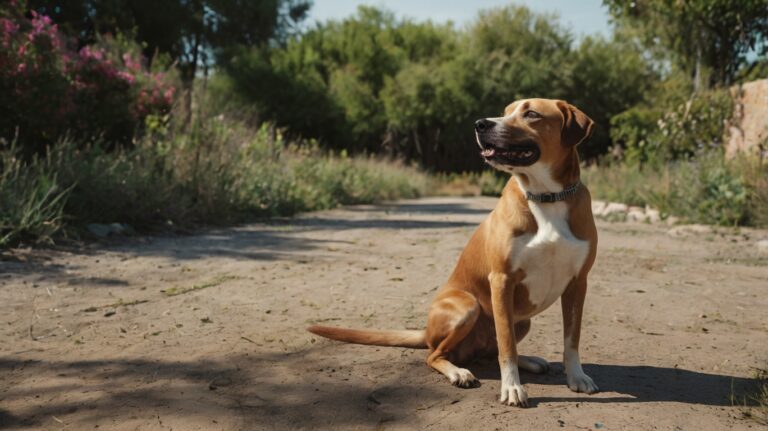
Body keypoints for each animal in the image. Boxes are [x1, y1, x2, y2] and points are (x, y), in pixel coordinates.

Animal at [308, 98, 596, 408]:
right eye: (505, 112)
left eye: (531, 114)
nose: (481, 124)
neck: (546, 197)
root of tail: (425, 330)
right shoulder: (502, 280)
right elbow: (507, 347)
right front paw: (512, 387)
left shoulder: (578, 283)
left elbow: (571, 339)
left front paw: (576, 376)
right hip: (467, 307)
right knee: (436, 354)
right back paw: (458, 372)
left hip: (521, 320)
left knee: (490, 350)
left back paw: (529, 361)